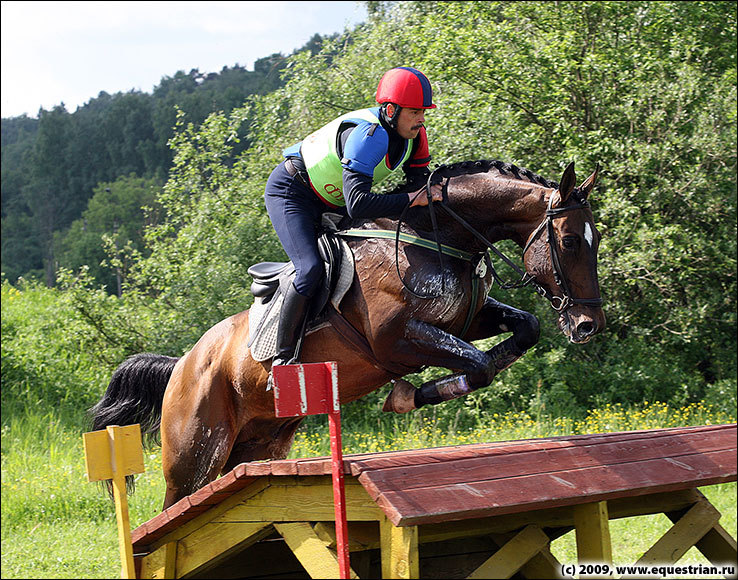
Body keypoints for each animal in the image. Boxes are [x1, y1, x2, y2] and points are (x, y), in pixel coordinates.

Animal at [89, 159, 604, 508]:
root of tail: (182, 364)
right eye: (569, 241)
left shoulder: (463, 322)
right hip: (193, 455)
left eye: (593, 239)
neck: (435, 238)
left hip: (254, 447)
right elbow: (475, 365)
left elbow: (523, 330)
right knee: (172, 507)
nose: (588, 326)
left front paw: (424, 391)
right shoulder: (396, 341)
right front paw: (409, 396)